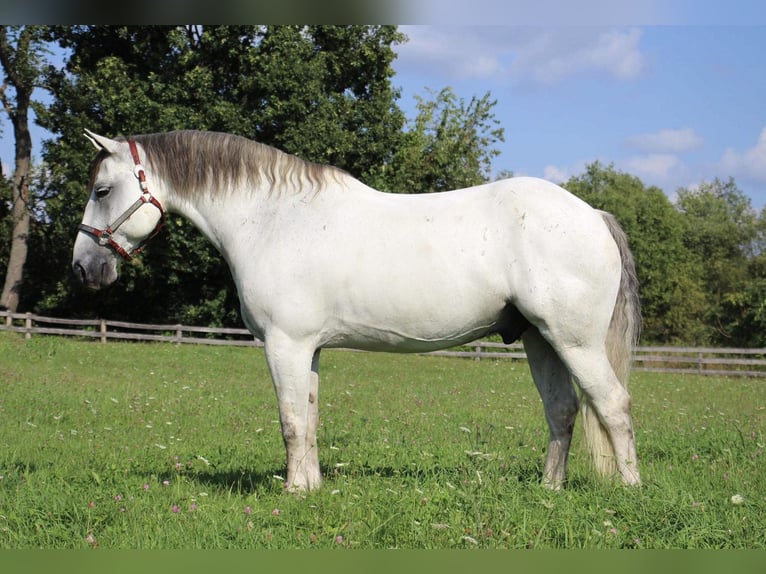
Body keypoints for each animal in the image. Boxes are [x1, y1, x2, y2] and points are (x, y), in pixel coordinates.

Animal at [75, 130, 644, 490]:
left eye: (103, 189)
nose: (84, 269)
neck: (273, 219)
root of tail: (593, 213)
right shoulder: (308, 349)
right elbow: (309, 418)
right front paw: (310, 487)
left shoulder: (284, 344)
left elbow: (290, 421)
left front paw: (291, 493)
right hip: (538, 338)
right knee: (563, 410)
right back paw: (550, 490)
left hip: (574, 342)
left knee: (613, 405)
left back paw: (629, 490)